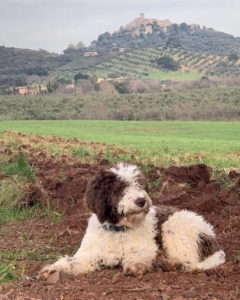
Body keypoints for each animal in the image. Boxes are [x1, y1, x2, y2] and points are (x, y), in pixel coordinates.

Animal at [40, 164, 226, 276]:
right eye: (120, 188)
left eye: (139, 185)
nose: (141, 201)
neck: (117, 229)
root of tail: (210, 235)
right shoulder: (89, 254)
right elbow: (72, 261)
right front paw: (54, 269)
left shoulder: (146, 247)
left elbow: (139, 254)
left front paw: (135, 264)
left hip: (173, 226)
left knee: (190, 262)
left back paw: (171, 263)